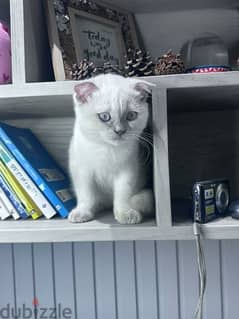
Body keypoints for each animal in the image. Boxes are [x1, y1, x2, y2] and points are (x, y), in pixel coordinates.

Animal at [68, 74, 154, 225]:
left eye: (131, 115)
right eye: (104, 116)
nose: (120, 131)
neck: (106, 149)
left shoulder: (127, 170)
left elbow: (123, 193)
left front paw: (125, 213)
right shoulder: (82, 171)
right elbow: (86, 194)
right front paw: (82, 211)